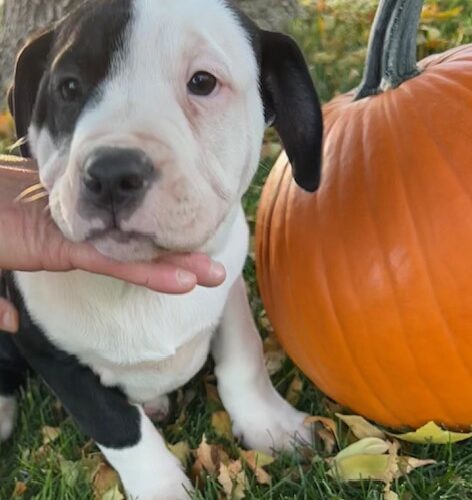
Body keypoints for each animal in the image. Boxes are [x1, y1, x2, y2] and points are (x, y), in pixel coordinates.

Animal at [0, 0, 320, 496]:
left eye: (203, 82)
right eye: (68, 87)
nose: (112, 172)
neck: (136, 291)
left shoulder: (228, 289)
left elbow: (244, 356)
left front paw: (269, 422)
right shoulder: (50, 353)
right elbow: (117, 426)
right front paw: (162, 487)